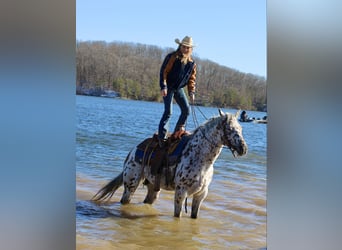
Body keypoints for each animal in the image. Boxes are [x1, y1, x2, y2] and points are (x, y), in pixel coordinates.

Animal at [92, 109, 247, 219]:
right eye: (230, 129)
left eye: (241, 129)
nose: (243, 149)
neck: (200, 159)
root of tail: (134, 150)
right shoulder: (181, 193)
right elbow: (177, 216)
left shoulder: (200, 195)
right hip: (130, 186)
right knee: (125, 201)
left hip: (153, 188)